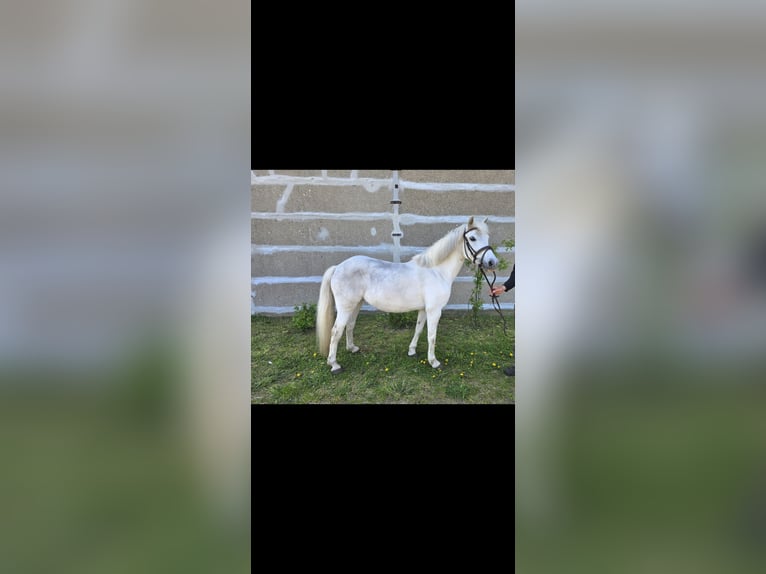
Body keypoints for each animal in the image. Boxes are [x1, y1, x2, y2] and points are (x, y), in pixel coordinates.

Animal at [316, 216, 498, 374]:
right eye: (472, 238)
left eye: (487, 237)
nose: (492, 262)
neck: (437, 271)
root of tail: (338, 267)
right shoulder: (434, 310)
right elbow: (431, 336)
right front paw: (434, 362)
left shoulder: (424, 309)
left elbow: (418, 329)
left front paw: (412, 351)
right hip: (345, 307)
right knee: (336, 331)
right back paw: (334, 364)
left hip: (356, 304)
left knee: (350, 325)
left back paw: (352, 348)